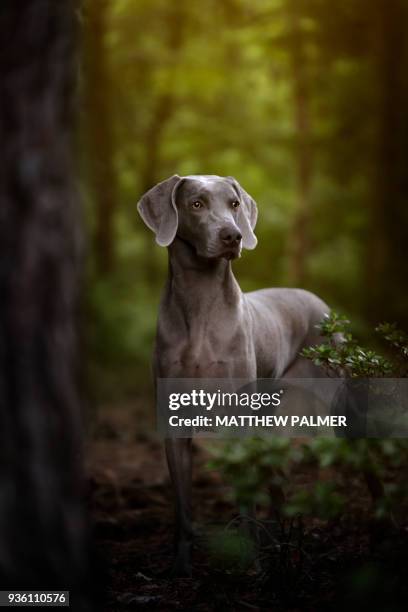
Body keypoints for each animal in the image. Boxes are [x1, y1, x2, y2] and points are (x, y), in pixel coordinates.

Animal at [139, 173, 330, 572]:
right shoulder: (174, 426)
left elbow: (245, 498)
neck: (199, 302)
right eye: (196, 204)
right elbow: (184, 508)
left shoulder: (238, 423)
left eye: (235, 204)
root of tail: (321, 303)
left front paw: (249, 561)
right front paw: (182, 567)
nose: (233, 235)